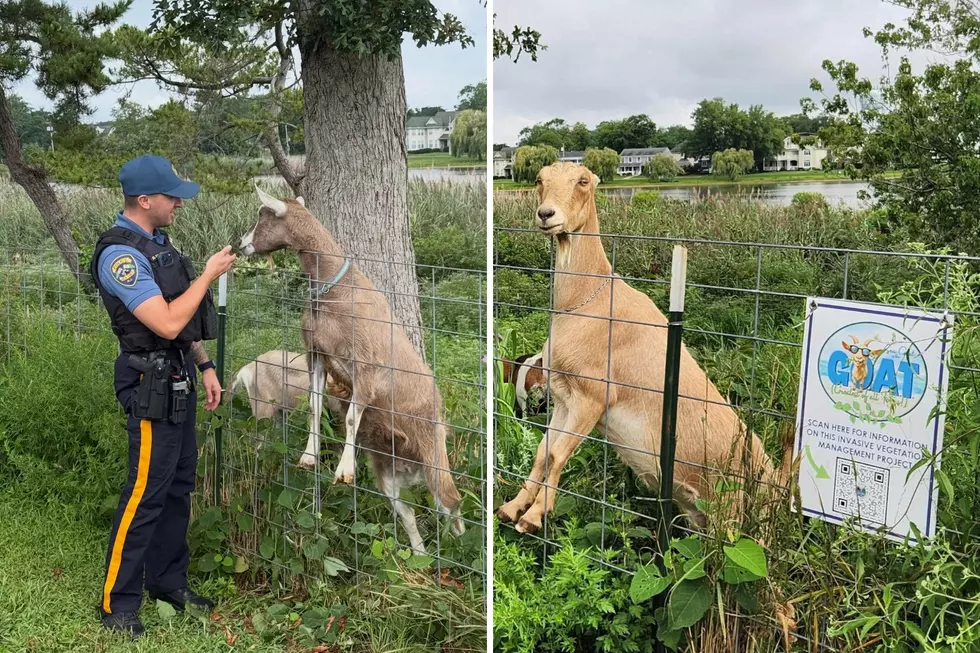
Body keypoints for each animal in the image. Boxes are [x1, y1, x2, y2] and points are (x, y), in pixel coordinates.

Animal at [237, 186, 465, 554]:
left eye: (263, 216)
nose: (241, 245)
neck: (336, 291)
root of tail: (410, 465)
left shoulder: (366, 369)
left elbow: (348, 419)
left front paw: (344, 471)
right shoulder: (316, 355)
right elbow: (314, 406)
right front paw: (309, 456)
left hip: (434, 450)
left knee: (451, 500)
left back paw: (461, 543)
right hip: (389, 478)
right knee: (409, 514)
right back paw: (420, 554)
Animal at [495, 162, 792, 535]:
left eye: (583, 181)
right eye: (539, 179)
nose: (546, 214)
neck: (586, 300)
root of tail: (779, 486)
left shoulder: (594, 396)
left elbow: (558, 453)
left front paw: (534, 516)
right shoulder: (564, 398)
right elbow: (542, 450)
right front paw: (511, 508)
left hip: (736, 517)